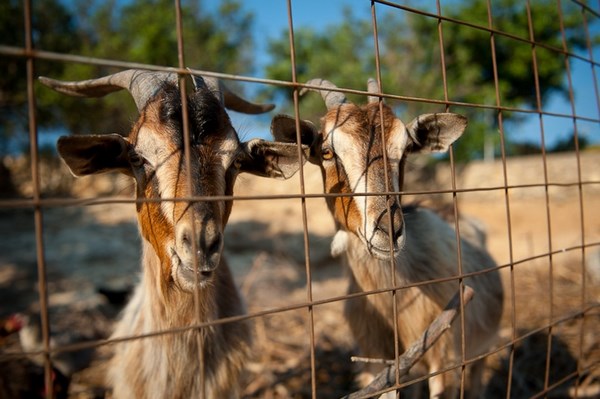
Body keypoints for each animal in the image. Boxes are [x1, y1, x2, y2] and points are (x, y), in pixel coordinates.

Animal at [270, 79, 502, 398]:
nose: (388, 232)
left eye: (404, 152)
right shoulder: (374, 359)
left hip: (480, 347)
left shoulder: (443, 356)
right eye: (327, 152)